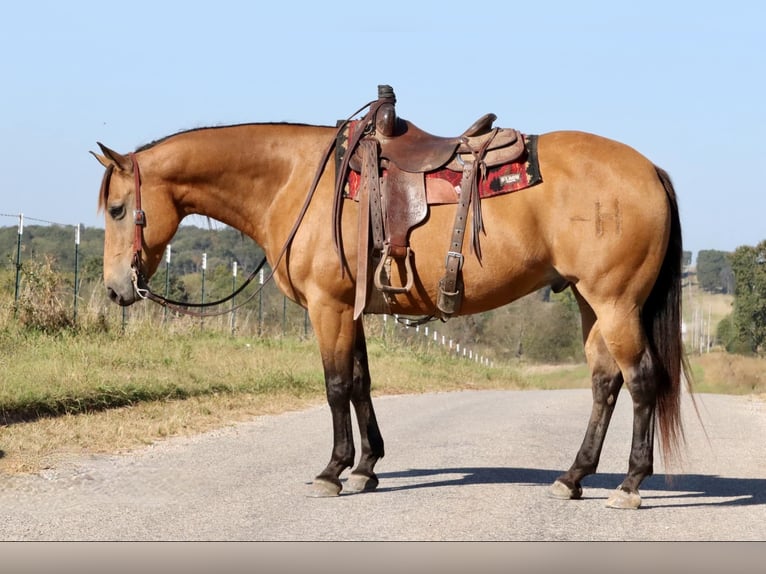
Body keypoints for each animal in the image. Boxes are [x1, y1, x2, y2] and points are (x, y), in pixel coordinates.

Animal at [94, 88, 696, 510]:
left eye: (119, 209)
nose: (117, 288)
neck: (296, 181)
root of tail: (649, 170)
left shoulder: (329, 307)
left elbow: (336, 386)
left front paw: (332, 472)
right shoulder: (352, 308)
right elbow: (361, 383)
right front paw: (366, 468)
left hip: (616, 303)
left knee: (641, 380)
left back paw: (630, 484)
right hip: (591, 304)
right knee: (605, 383)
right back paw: (572, 478)